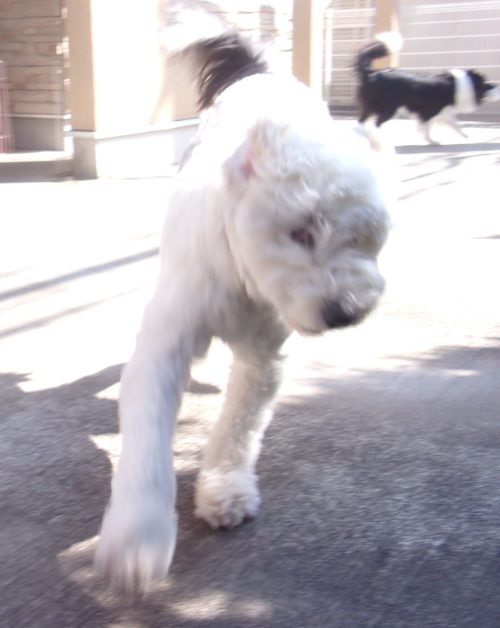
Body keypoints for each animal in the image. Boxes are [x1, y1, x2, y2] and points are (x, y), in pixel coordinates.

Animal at [95, 28, 393, 591]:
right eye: (301, 232)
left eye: (365, 237)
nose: (343, 311)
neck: (240, 277)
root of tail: (261, 72)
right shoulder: (165, 346)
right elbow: (147, 442)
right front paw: (138, 537)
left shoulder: (264, 357)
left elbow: (240, 426)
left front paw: (225, 491)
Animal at [357, 33, 499, 143]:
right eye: (487, 85)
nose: (497, 86)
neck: (460, 85)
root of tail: (372, 74)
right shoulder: (430, 111)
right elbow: (427, 127)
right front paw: (431, 141)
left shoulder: (443, 112)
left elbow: (453, 124)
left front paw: (465, 135)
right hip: (389, 108)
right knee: (377, 123)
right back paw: (379, 139)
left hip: (370, 106)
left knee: (361, 121)